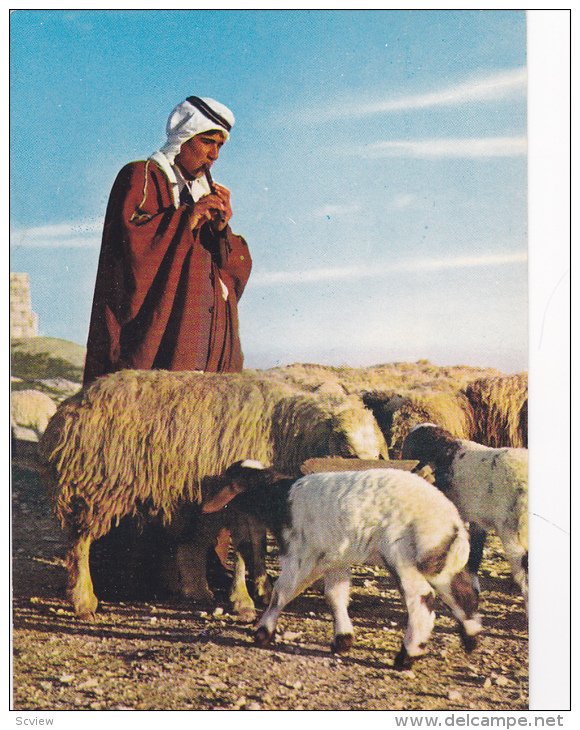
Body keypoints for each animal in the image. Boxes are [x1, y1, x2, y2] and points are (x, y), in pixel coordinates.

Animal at [38, 370, 388, 620]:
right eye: (345, 449)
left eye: (376, 453)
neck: (288, 431)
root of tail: (67, 407)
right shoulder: (238, 498)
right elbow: (245, 549)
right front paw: (243, 600)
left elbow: (257, 547)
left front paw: (263, 589)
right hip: (95, 486)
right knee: (79, 544)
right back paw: (83, 599)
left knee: (188, 544)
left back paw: (196, 590)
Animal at [202, 458, 482, 668]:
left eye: (230, 480)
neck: (279, 498)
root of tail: (450, 519)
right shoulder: (336, 558)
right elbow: (335, 596)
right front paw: (343, 639)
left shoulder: (299, 552)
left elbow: (281, 592)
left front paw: (263, 632)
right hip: (436, 555)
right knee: (461, 589)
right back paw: (471, 637)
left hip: (401, 552)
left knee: (422, 598)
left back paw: (407, 655)